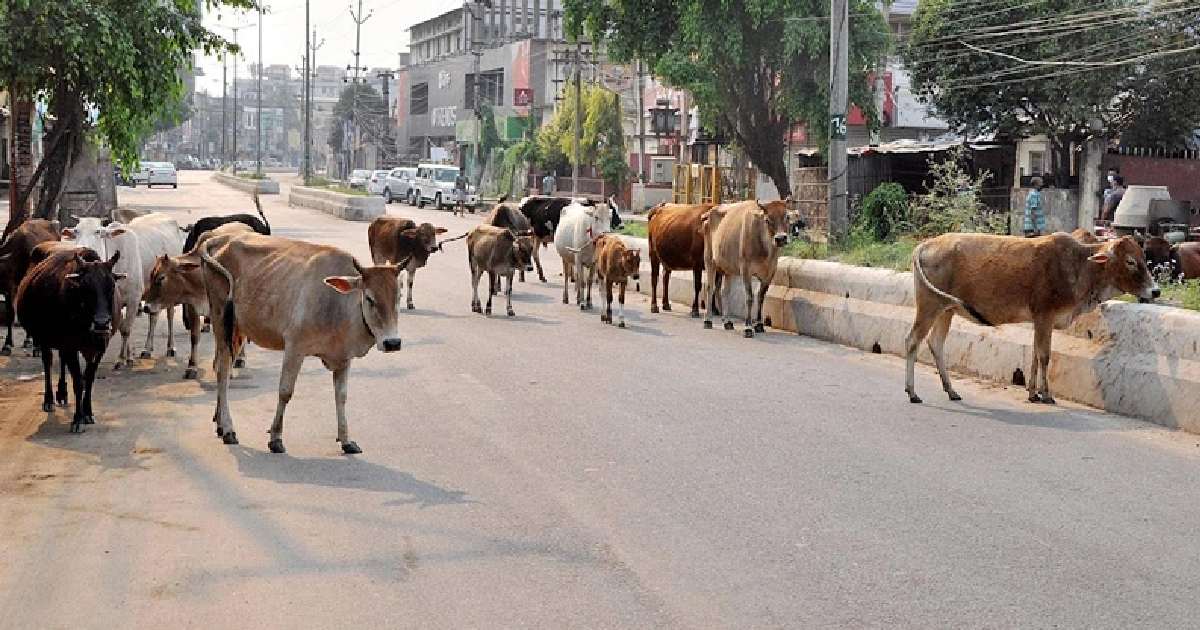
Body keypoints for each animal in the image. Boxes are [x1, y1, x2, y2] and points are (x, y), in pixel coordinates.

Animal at [15, 248, 123, 432]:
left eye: (111, 287)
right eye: (85, 289)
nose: (101, 323)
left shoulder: (101, 347)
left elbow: (89, 379)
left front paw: (88, 412)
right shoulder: (70, 345)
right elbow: (78, 382)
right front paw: (78, 419)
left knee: (62, 360)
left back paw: (62, 393)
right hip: (44, 338)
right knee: (48, 362)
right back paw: (49, 400)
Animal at [64, 213, 185, 368]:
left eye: (98, 232)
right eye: (76, 231)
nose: (80, 251)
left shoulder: (134, 298)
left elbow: (126, 329)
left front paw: (121, 358)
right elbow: (122, 327)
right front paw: (128, 356)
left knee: (170, 314)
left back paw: (170, 347)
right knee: (154, 316)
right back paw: (147, 349)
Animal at [198, 230, 404, 454]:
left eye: (398, 297)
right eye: (369, 298)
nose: (393, 343)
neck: (338, 304)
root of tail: (220, 237)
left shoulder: (343, 357)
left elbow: (341, 396)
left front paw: (347, 440)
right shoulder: (294, 347)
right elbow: (285, 392)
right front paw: (276, 438)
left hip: (237, 330)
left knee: (221, 367)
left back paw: (220, 423)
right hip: (221, 320)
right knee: (223, 372)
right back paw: (228, 428)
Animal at [701, 199, 798, 337]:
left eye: (787, 217)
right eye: (767, 220)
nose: (780, 238)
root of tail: (709, 212)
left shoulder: (770, 273)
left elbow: (761, 296)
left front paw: (759, 325)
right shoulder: (745, 270)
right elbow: (749, 297)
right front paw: (748, 327)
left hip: (728, 268)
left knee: (725, 291)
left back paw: (727, 321)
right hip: (709, 260)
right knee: (710, 288)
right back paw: (708, 320)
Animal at [904, 233, 1158, 405]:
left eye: (1143, 258)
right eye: (1130, 261)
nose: (1155, 291)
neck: (1080, 267)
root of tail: (924, 245)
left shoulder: (1040, 320)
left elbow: (1036, 354)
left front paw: (1032, 393)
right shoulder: (1044, 315)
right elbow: (1045, 356)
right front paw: (1046, 394)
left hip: (945, 309)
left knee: (935, 343)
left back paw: (951, 391)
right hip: (929, 307)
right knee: (912, 341)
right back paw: (913, 392)